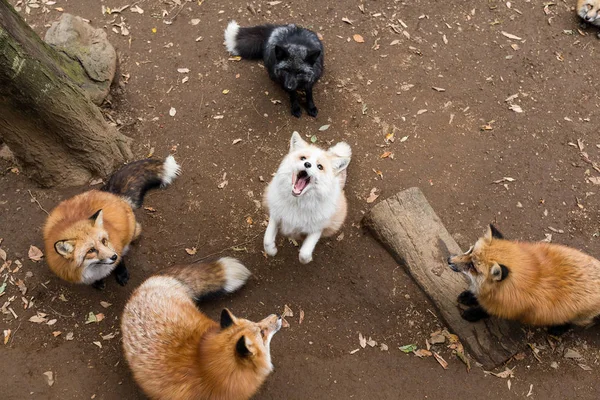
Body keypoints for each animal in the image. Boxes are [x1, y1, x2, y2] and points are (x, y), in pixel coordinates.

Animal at [42, 155, 180, 290]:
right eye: (91, 250)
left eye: (104, 241)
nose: (113, 256)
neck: (92, 269)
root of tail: (109, 193)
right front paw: (97, 282)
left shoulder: (117, 244)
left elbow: (120, 261)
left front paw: (121, 273)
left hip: (132, 231)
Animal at [262, 130, 352, 264]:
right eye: (303, 158)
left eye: (320, 167)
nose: (307, 164)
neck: (297, 205)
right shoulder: (276, 214)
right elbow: (267, 240)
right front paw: (272, 251)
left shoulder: (318, 228)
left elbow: (304, 253)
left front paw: (307, 259)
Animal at [448, 225, 600, 334]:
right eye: (470, 251)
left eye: (472, 266)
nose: (449, 260)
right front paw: (469, 296)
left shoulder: (510, 307)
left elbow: (486, 310)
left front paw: (473, 312)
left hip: (575, 315)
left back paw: (559, 329)